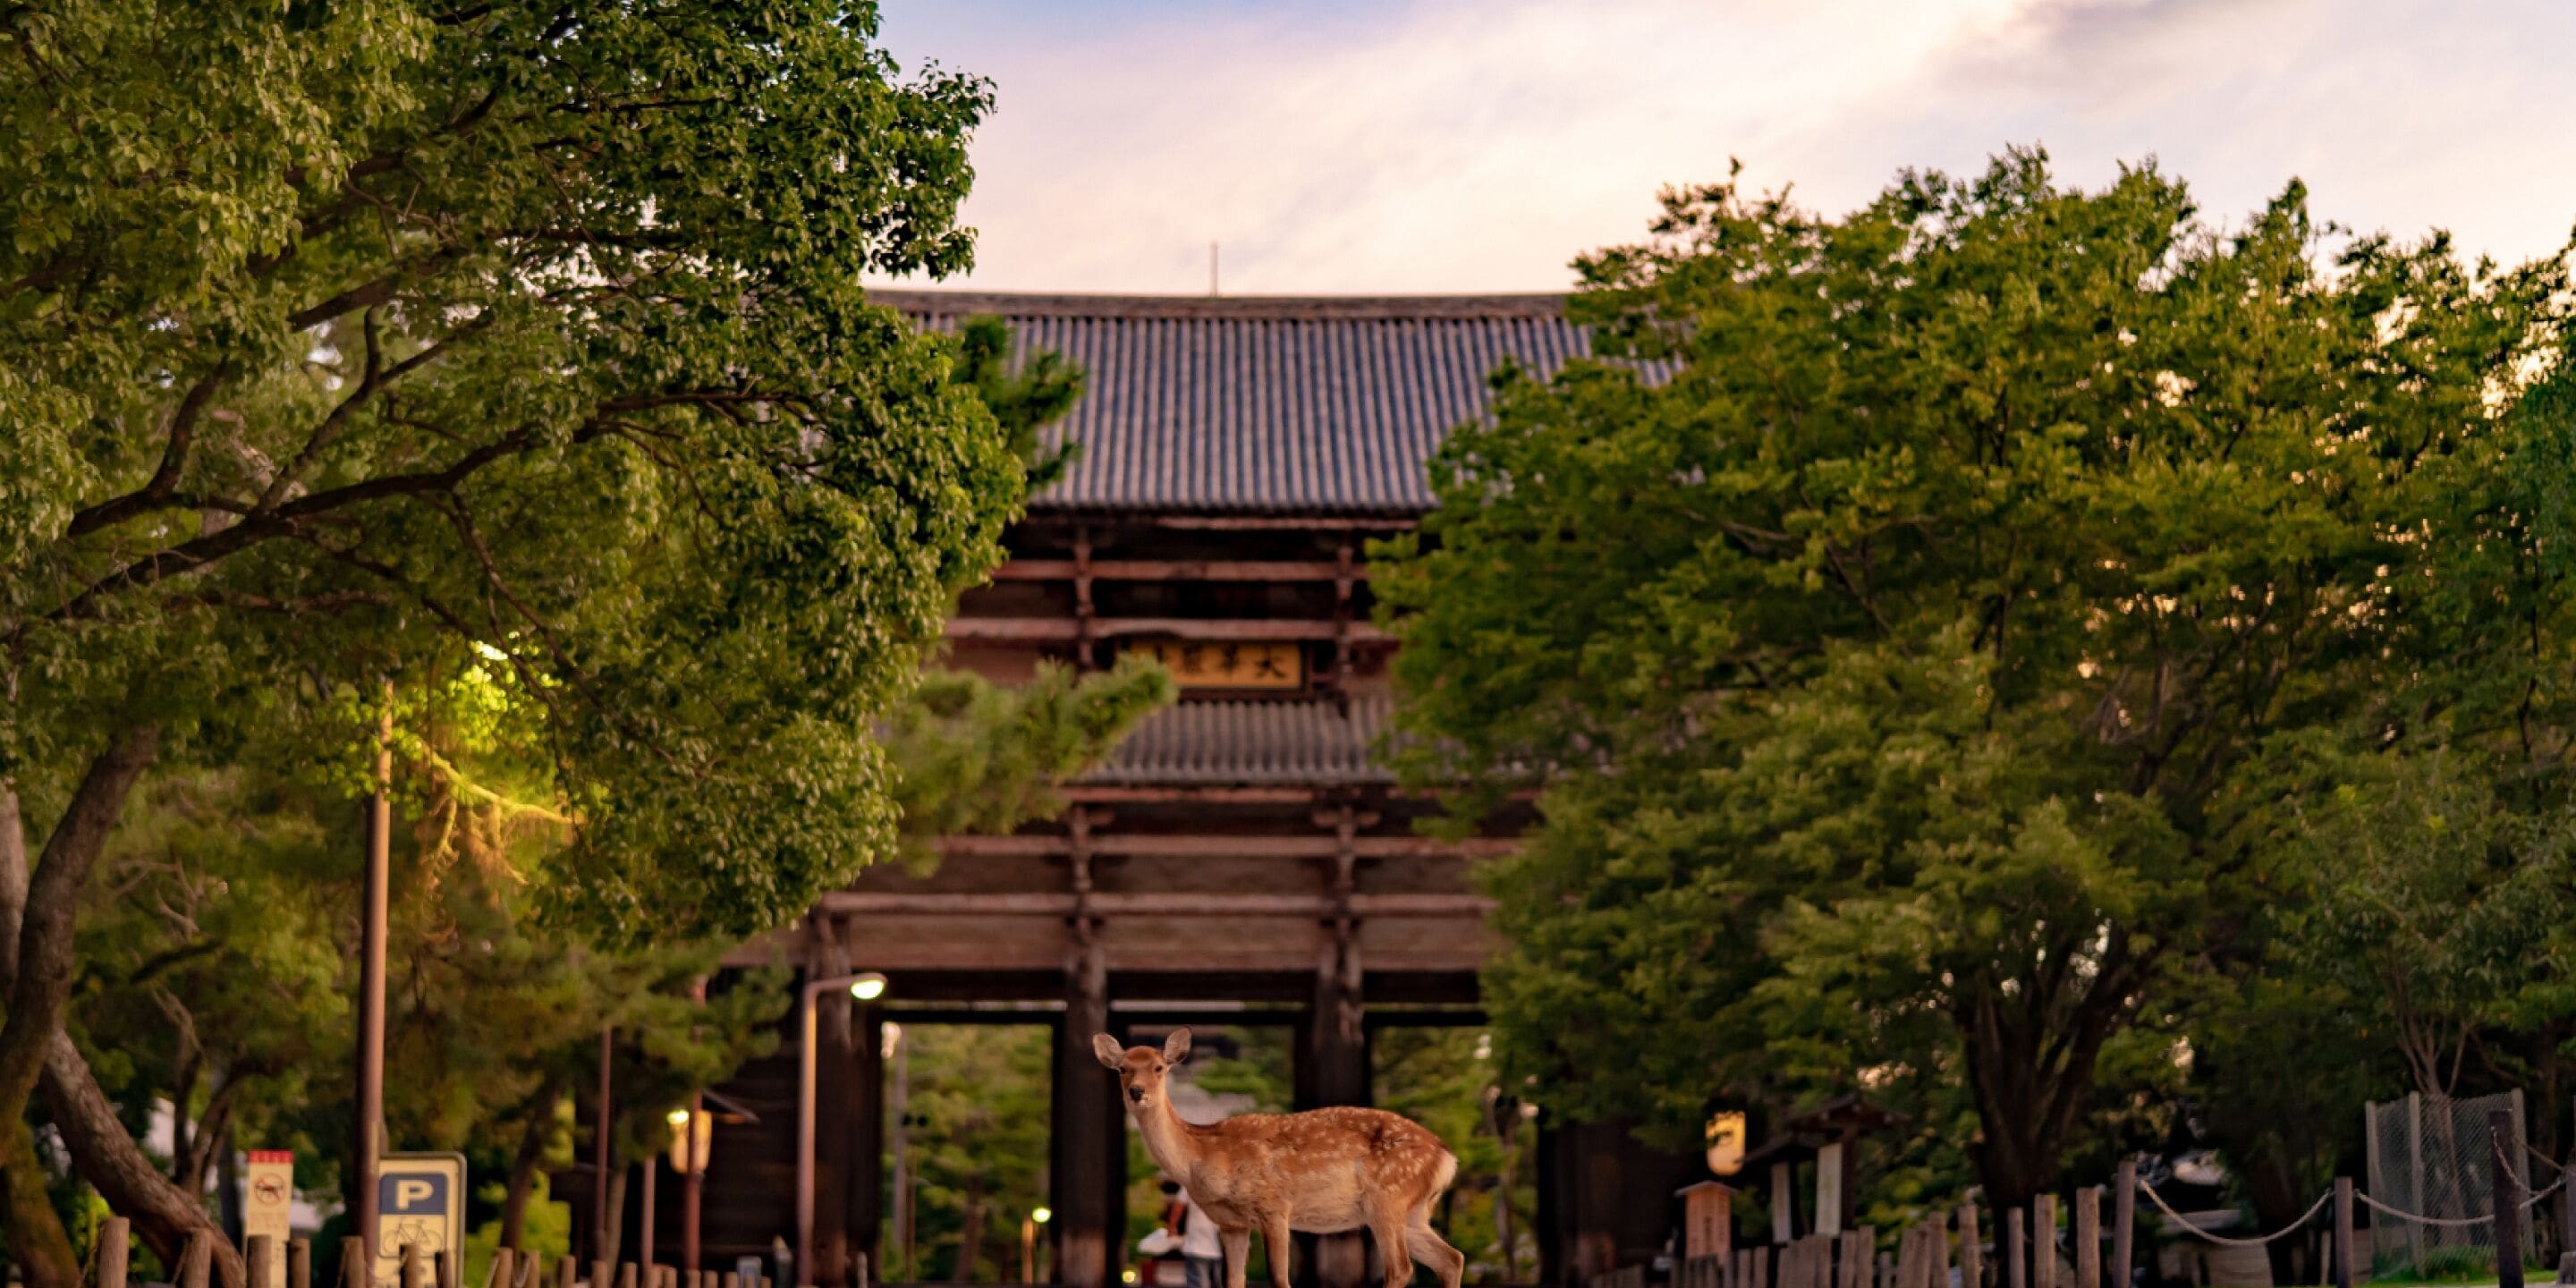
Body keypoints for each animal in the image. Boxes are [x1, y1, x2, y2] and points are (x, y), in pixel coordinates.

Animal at [1093, 1028, 1465, 1288]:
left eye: (1159, 1067)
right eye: (1122, 1069)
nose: (1137, 1092)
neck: (1206, 1156)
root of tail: (1447, 1156)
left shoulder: (1274, 1205)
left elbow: (1279, 1279)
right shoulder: (1231, 1223)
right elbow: (1234, 1281)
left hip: (1387, 1197)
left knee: (1401, 1268)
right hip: (1413, 1211)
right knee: (1452, 1258)